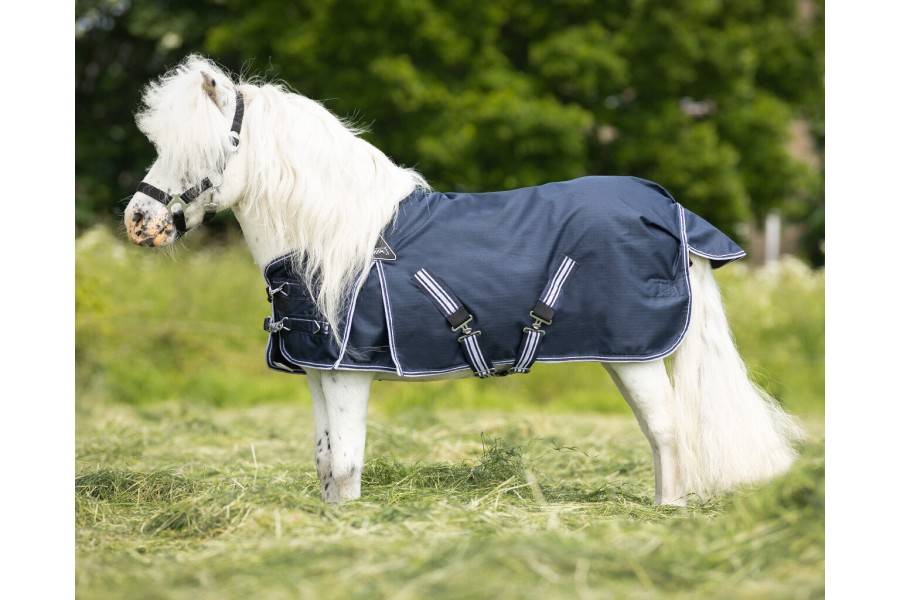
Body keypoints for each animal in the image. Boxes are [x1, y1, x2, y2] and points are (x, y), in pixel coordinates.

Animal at [123, 56, 802, 506]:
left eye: (205, 150)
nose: (138, 221)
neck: (332, 237)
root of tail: (673, 211)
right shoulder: (320, 371)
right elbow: (326, 463)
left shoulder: (348, 373)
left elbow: (345, 464)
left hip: (635, 355)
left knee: (667, 433)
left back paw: (667, 511)